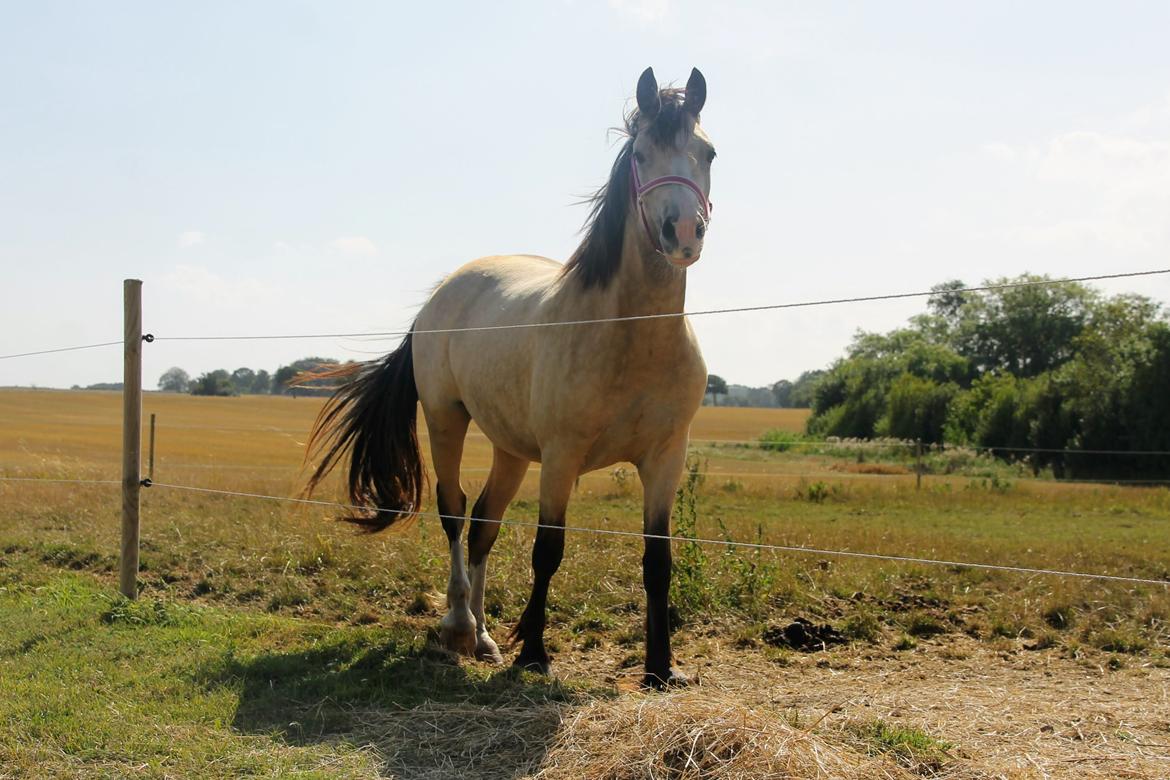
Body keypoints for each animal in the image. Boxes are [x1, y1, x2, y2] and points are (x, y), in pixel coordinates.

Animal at [306, 68, 711, 687]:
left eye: (708, 152)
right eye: (641, 153)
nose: (683, 231)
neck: (631, 335)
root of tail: (442, 293)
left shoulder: (666, 457)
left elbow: (657, 560)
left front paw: (662, 669)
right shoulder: (563, 455)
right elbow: (548, 549)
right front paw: (535, 654)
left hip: (511, 449)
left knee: (483, 522)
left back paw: (485, 637)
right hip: (446, 420)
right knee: (454, 510)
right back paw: (458, 627)